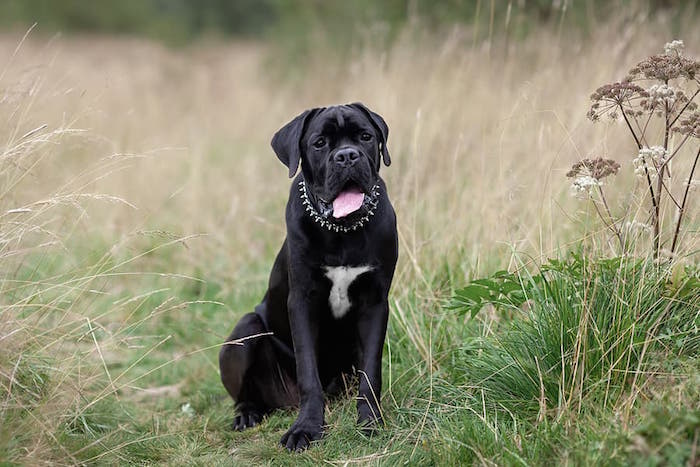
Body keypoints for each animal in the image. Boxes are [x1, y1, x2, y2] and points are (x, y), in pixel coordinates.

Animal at [219, 103, 396, 454]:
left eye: (365, 137)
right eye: (319, 143)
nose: (347, 156)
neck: (343, 230)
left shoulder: (375, 302)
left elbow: (371, 372)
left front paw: (370, 422)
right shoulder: (302, 301)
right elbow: (308, 373)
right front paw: (306, 428)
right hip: (244, 331)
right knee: (245, 393)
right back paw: (247, 414)